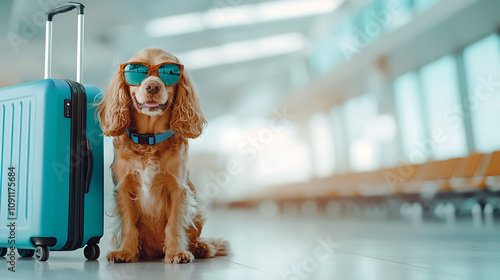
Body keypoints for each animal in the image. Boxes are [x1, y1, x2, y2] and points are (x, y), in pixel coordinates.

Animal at [97, 49, 229, 264]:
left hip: (197, 212)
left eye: (169, 72)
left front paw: (176, 252)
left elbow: (173, 225)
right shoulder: (124, 188)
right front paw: (125, 252)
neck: (149, 140)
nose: (152, 86)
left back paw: (201, 247)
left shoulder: (178, 189)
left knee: (196, 237)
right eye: (137, 70)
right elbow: (128, 226)